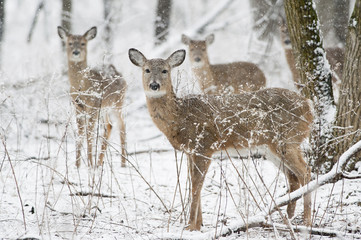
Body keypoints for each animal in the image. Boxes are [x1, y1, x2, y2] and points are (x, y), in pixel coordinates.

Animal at [57, 26, 126, 168]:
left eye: (83, 43)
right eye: (70, 43)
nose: (76, 52)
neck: (83, 86)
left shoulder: (93, 106)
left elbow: (89, 134)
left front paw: (89, 164)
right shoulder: (78, 106)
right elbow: (80, 133)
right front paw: (78, 165)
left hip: (117, 103)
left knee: (122, 125)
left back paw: (123, 163)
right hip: (104, 107)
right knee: (109, 126)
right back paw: (99, 163)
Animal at [129, 47, 312, 231]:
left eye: (165, 70)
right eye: (147, 70)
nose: (154, 85)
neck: (180, 116)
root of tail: (309, 108)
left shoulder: (204, 146)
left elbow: (196, 186)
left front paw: (191, 226)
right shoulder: (191, 152)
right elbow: (194, 183)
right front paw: (198, 224)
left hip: (288, 139)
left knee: (305, 171)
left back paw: (306, 221)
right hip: (271, 147)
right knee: (293, 177)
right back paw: (289, 218)